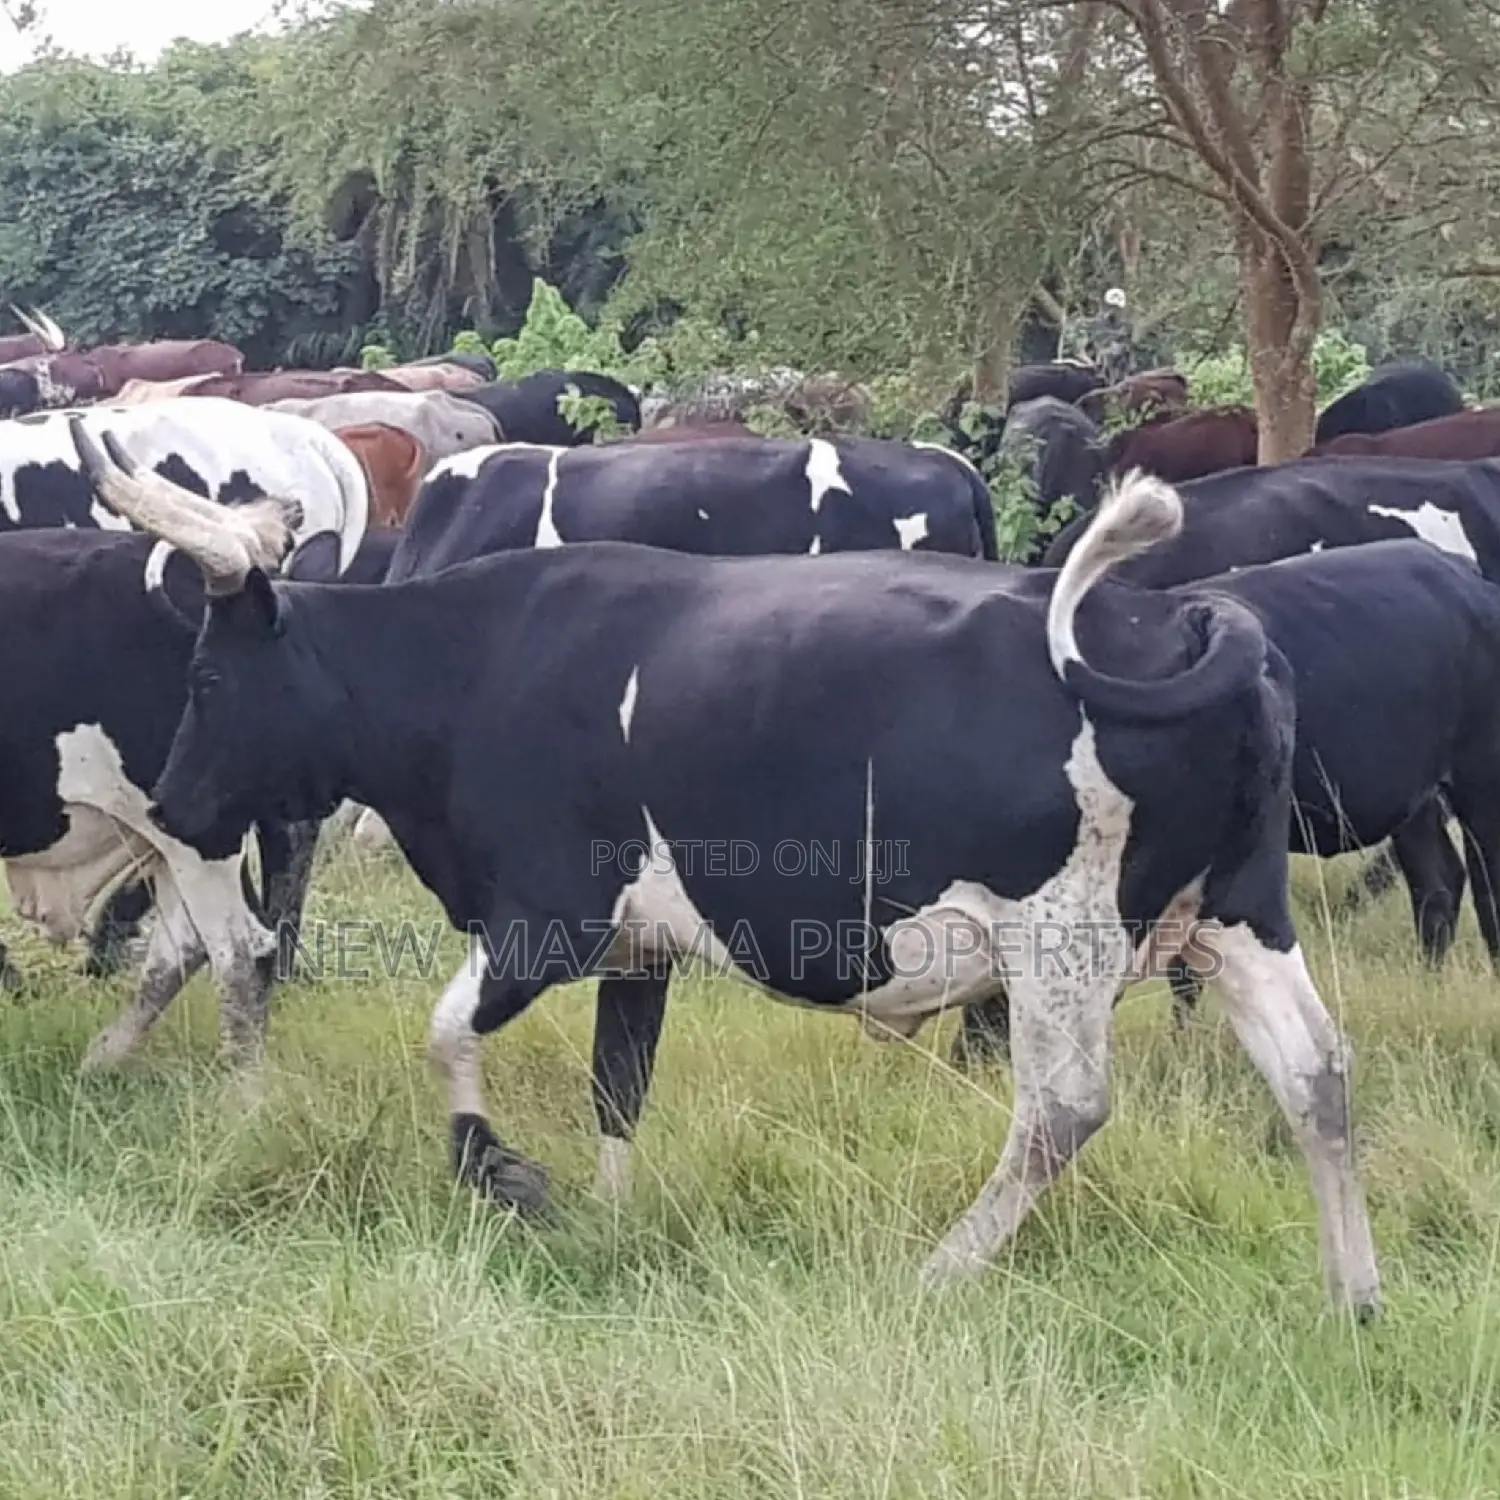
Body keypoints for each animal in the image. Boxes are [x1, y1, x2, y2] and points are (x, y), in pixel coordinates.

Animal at [75, 427, 1384, 1318]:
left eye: (206, 679)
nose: (174, 803)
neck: (478, 661)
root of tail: (1187, 621)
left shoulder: (545, 917)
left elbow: (446, 1035)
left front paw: (500, 1171)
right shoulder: (638, 946)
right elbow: (618, 1085)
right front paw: (605, 1223)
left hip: (1059, 943)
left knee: (1062, 1111)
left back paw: (941, 1269)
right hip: (1238, 918)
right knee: (1316, 1074)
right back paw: (1354, 1294)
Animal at [956, 540, 1500, 1064]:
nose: (972, 1055)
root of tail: (1464, 575)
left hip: (1479, 787)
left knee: (1486, 894)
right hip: (1419, 805)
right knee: (1438, 883)